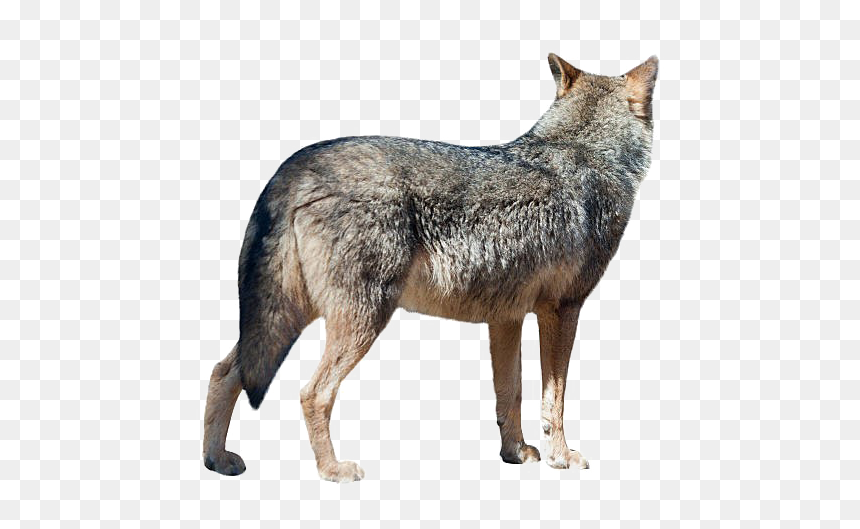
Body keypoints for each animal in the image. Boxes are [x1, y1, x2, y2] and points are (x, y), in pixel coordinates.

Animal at [203, 53, 658, 482]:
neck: (584, 152)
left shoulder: (506, 318)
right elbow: (554, 400)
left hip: (286, 319)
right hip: (360, 320)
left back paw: (216, 460)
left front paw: (514, 453)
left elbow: (510, 393)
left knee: (223, 371)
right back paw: (332, 470)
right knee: (313, 393)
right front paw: (561, 458)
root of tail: (295, 166)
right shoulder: (562, 310)